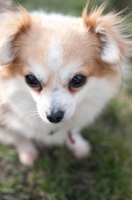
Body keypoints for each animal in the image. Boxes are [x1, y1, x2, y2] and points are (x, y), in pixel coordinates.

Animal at [0, 4, 130, 166]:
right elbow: (18, 136)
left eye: (78, 79)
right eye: (31, 79)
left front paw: (78, 145)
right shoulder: (5, 122)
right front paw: (28, 152)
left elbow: (73, 130)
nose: (54, 116)